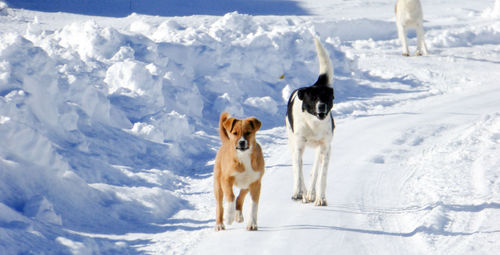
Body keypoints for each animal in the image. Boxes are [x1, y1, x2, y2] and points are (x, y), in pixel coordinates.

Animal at [288, 37, 334, 205]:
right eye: (312, 98)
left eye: (326, 98)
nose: (321, 107)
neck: (314, 124)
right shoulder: (298, 146)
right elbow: (298, 170)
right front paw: (297, 192)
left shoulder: (325, 147)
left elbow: (321, 176)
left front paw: (320, 198)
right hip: (292, 142)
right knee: (299, 168)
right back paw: (303, 193)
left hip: (321, 149)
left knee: (315, 170)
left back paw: (312, 194)